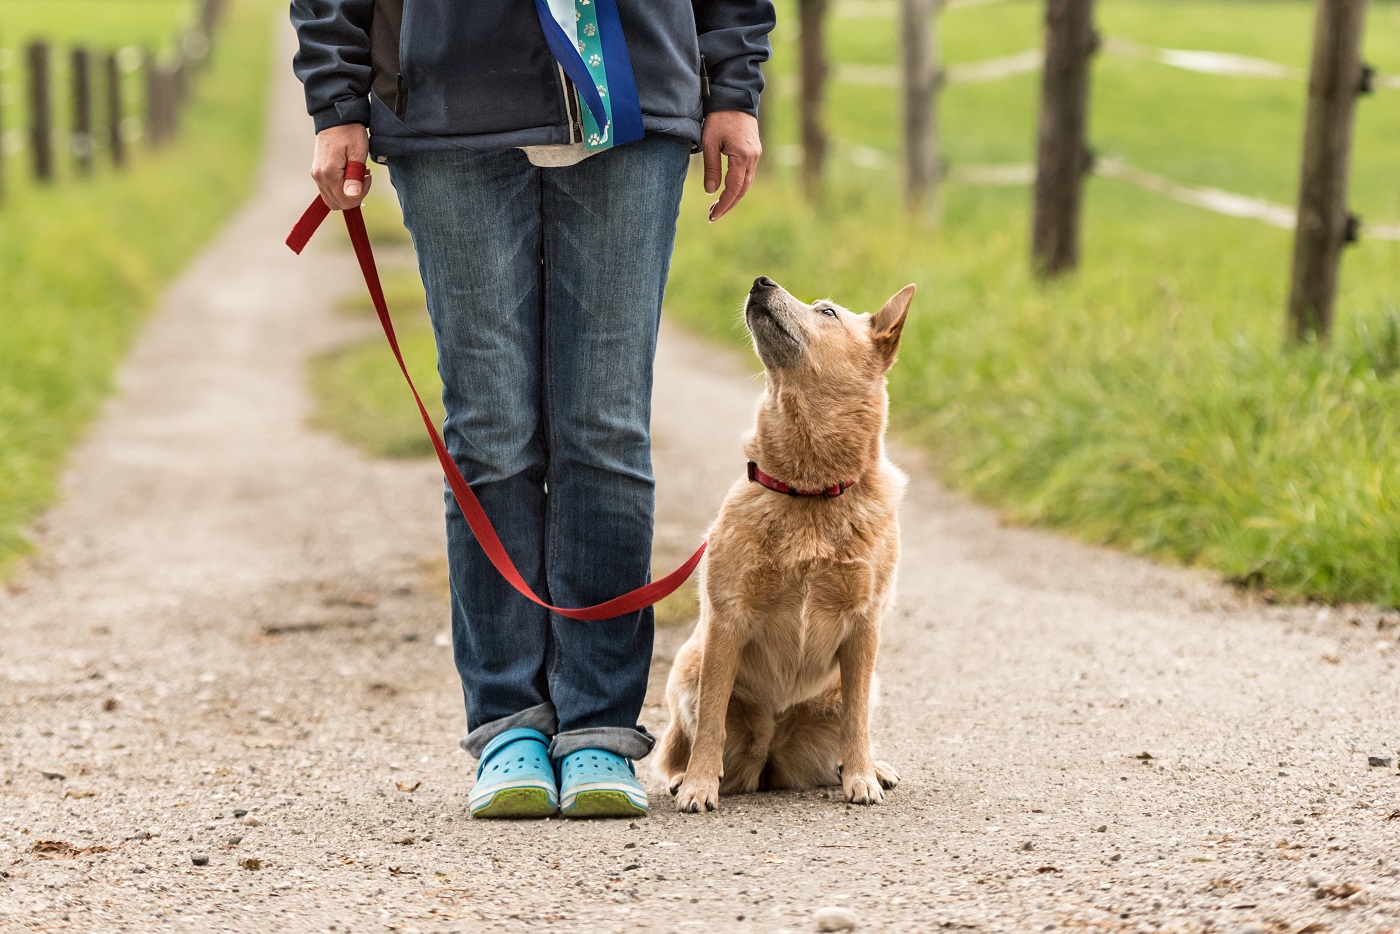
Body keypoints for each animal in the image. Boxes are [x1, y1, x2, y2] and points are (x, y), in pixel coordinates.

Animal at [658, 275, 918, 812]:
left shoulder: (865, 625)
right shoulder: (728, 619)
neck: (810, 490)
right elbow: (712, 718)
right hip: (687, 672)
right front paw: (698, 785)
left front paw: (861, 777)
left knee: (852, 721)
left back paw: (871, 768)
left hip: (852, 690)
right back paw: (682, 776)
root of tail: (772, 753)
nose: (760, 281)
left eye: (827, 312)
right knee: (681, 742)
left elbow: (858, 720)